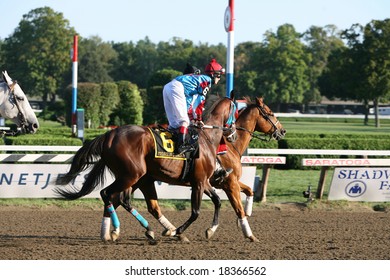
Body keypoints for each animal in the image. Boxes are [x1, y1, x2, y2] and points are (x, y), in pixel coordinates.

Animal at [54, 96, 238, 241]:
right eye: (236, 112)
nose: (234, 135)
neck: (206, 139)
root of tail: (109, 135)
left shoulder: (203, 181)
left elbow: (217, 200)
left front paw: (210, 230)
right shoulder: (198, 182)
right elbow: (195, 212)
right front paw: (179, 231)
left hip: (136, 177)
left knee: (123, 200)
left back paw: (121, 231)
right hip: (132, 175)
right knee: (108, 194)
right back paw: (120, 230)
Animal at [103, 97, 286, 242]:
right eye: (270, 113)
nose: (282, 130)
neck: (229, 145)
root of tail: (111, 137)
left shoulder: (218, 182)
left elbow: (247, 191)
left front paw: (242, 216)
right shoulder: (226, 183)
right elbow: (233, 208)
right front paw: (249, 233)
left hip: (139, 179)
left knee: (120, 200)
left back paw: (114, 231)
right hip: (132, 176)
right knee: (114, 197)